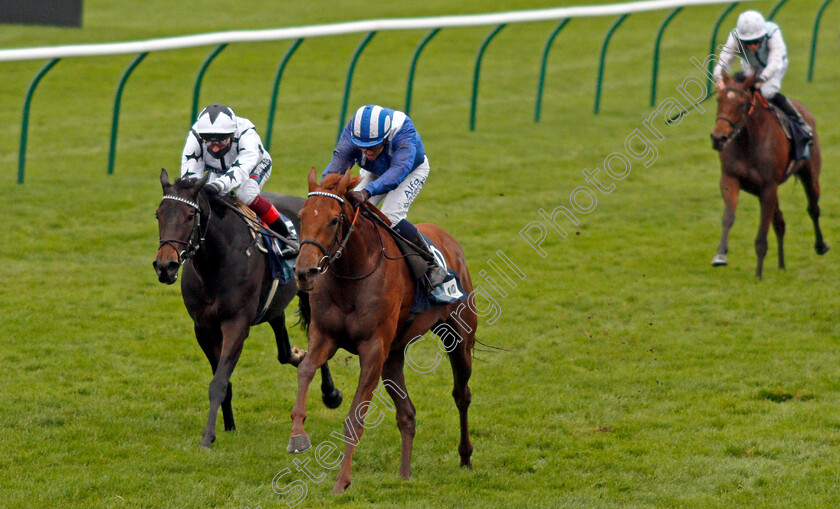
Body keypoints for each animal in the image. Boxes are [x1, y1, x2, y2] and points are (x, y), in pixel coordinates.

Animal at [154, 171, 342, 448]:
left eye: (190, 215)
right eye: (159, 214)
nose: (165, 266)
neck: (216, 263)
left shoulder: (236, 324)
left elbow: (218, 382)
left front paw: (207, 437)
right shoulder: (204, 329)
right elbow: (223, 381)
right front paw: (228, 426)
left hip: (310, 291)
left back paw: (330, 393)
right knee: (282, 338)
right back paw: (297, 355)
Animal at [288, 170, 476, 492]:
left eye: (334, 220)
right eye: (301, 217)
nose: (304, 272)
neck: (351, 273)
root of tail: (450, 242)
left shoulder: (373, 350)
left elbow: (354, 418)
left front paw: (341, 482)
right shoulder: (325, 337)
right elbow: (306, 370)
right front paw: (298, 435)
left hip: (459, 339)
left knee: (461, 394)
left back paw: (465, 457)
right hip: (394, 357)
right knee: (407, 414)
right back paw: (404, 474)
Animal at [708, 70, 828, 278]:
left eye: (742, 104)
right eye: (719, 100)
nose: (718, 138)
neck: (748, 142)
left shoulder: (769, 187)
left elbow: (762, 233)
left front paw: (758, 274)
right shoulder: (730, 179)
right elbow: (728, 217)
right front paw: (720, 255)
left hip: (810, 176)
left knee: (813, 208)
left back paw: (820, 246)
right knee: (780, 222)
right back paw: (781, 265)